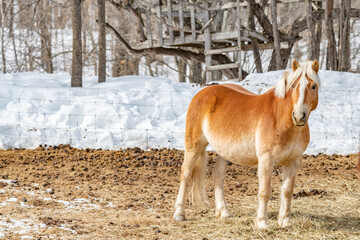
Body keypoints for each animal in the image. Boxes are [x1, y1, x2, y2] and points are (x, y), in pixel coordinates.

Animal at [173, 59, 320, 229]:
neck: (281, 118)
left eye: (313, 86)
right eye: (293, 85)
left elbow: (287, 191)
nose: (299, 116)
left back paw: (223, 212)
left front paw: (285, 221)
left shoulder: (293, 162)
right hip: (194, 145)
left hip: (223, 151)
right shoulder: (266, 160)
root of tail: (202, 93)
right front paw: (262, 223)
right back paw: (179, 214)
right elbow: (265, 191)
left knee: (218, 176)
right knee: (186, 174)